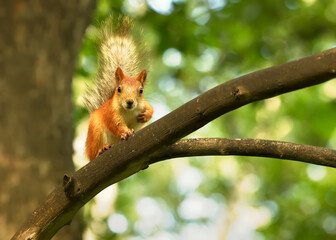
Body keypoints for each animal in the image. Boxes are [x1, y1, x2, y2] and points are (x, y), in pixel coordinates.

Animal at [83, 15, 154, 160]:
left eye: (141, 91)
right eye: (119, 89)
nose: (130, 102)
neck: (128, 111)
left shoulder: (144, 103)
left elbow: (151, 110)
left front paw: (145, 116)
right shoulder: (111, 113)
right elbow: (116, 125)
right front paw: (125, 132)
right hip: (96, 133)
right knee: (94, 153)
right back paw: (102, 149)